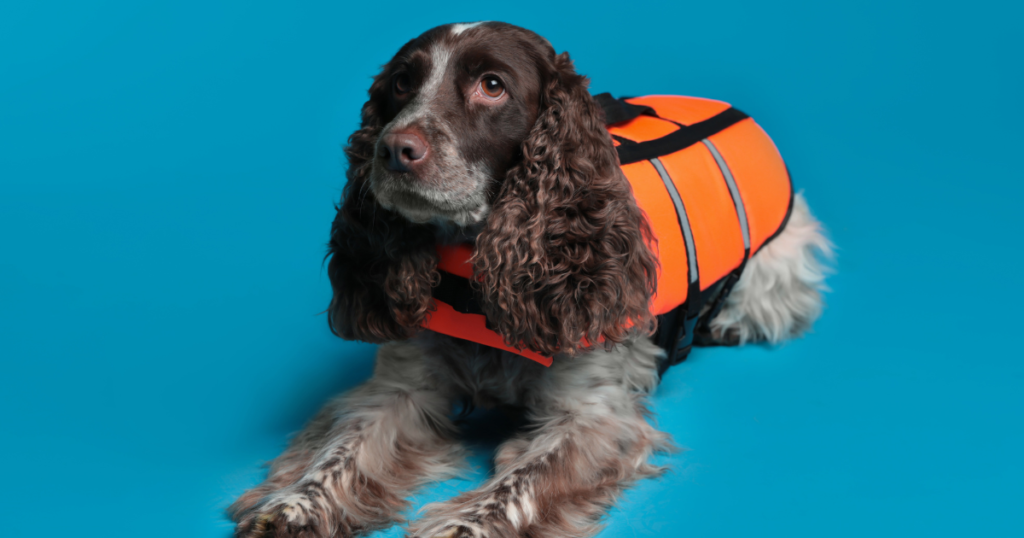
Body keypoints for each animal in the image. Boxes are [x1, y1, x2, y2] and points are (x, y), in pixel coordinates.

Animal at [228, 19, 827, 536]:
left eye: (492, 86)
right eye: (401, 83)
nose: (393, 149)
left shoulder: (594, 417)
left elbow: (520, 484)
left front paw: (463, 527)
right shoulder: (400, 388)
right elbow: (341, 450)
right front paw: (293, 505)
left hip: (778, 257)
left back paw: (730, 322)